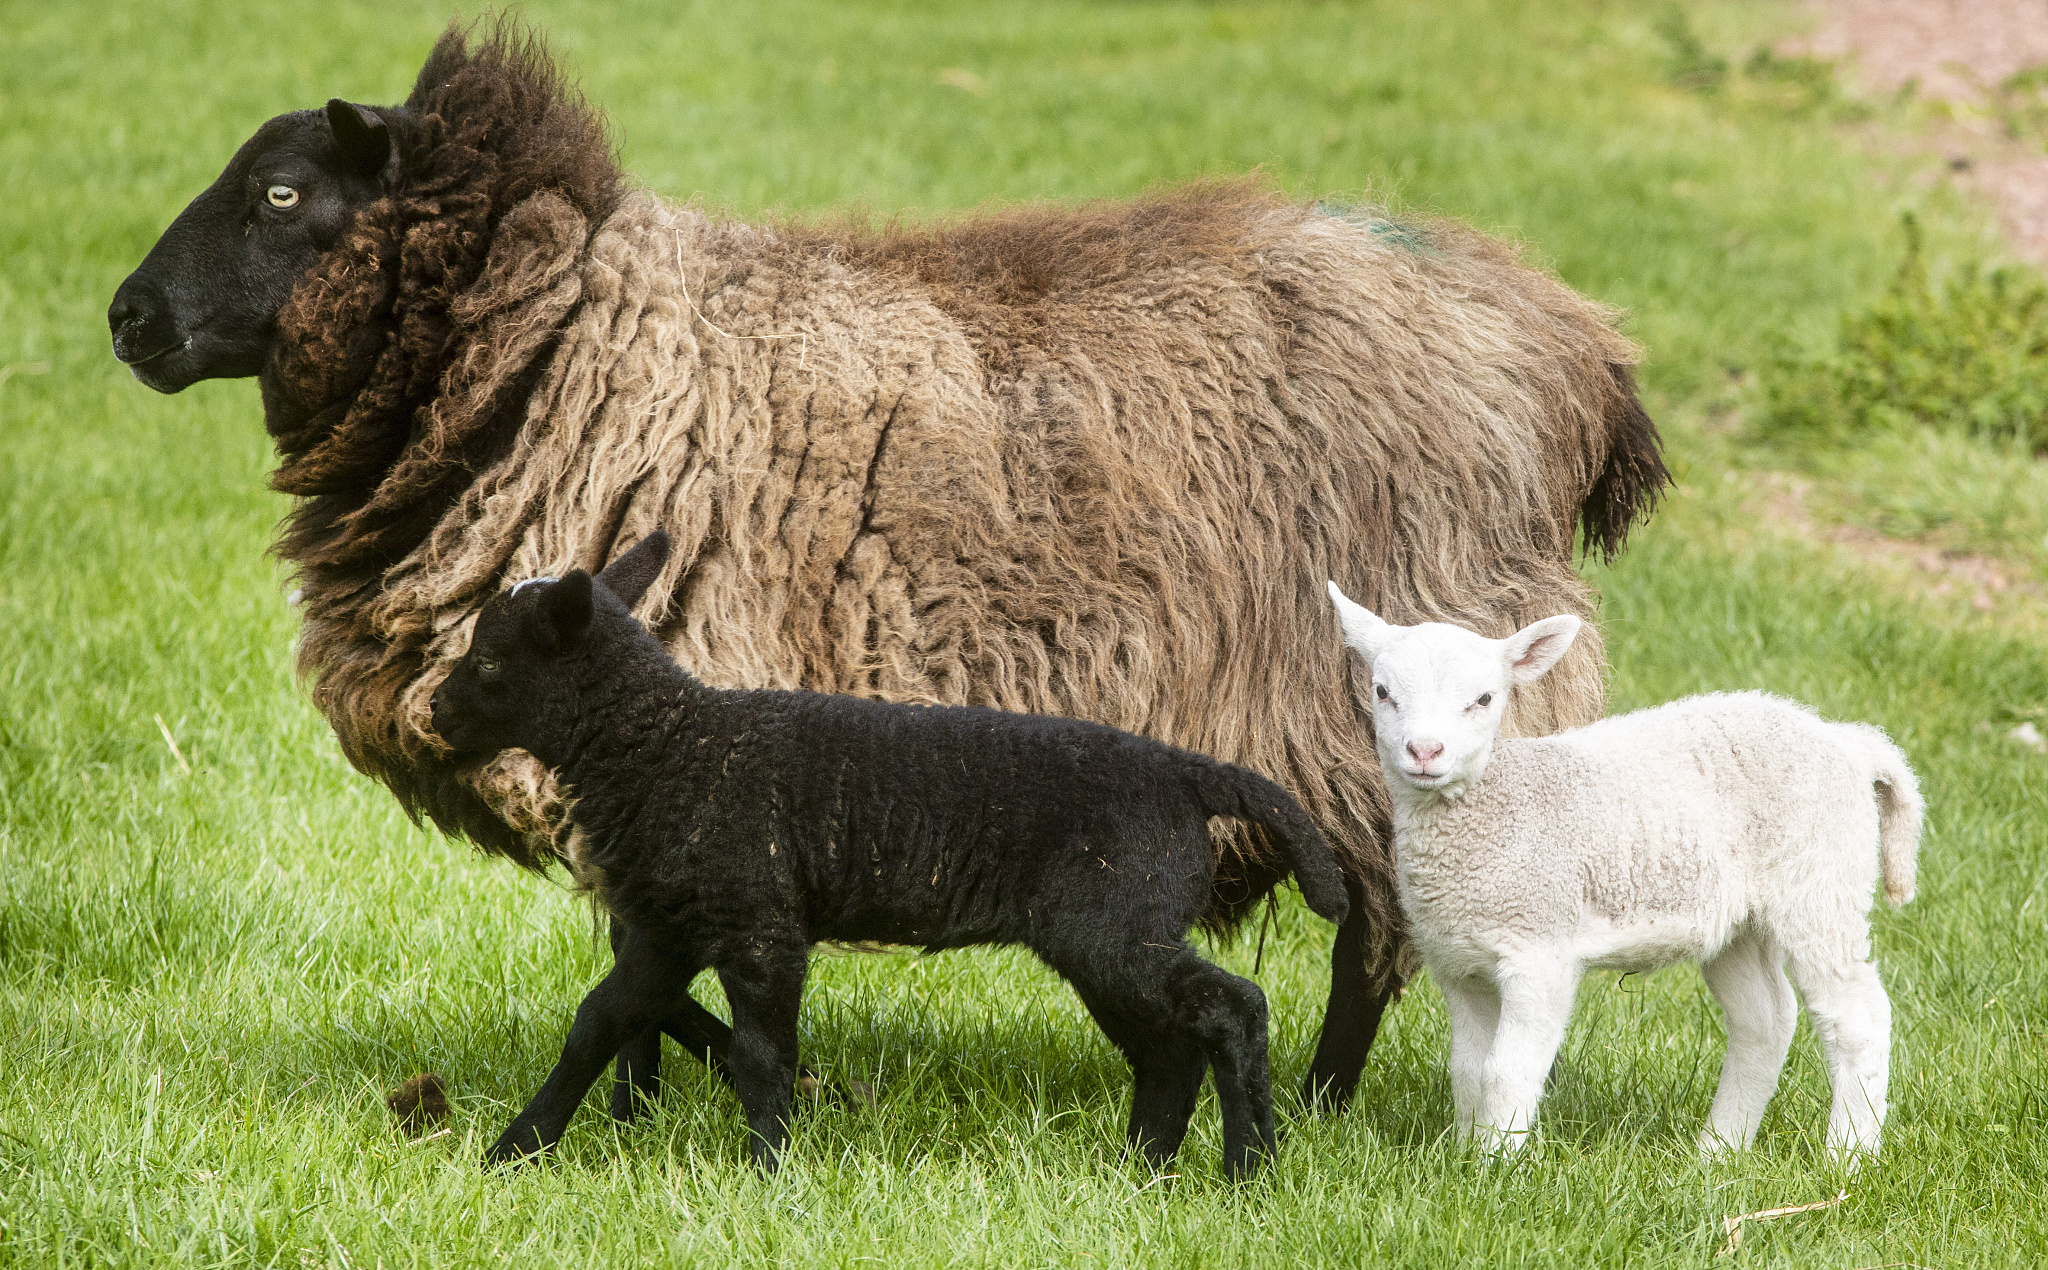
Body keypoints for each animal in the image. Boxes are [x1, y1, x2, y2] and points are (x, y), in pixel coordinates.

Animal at [430, 532, 1351, 1171]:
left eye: (490, 662)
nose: (435, 710)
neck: (667, 747)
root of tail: (1187, 773)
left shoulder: (762, 925)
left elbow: (763, 1057)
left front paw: (769, 1173)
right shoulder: (669, 929)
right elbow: (596, 1025)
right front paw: (514, 1152)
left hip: (1120, 926)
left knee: (1231, 1010)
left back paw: (1249, 1171)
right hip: (1111, 936)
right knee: (1167, 1051)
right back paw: (1144, 1172)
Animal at [1327, 581, 1916, 1163]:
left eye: (1484, 699)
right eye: (1382, 692)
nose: (1425, 751)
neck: (1491, 809)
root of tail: (1847, 741)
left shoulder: (1540, 950)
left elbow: (1506, 1071)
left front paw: (1499, 1167)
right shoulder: (1459, 961)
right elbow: (1469, 1072)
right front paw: (1468, 1160)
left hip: (1821, 881)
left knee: (1857, 1020)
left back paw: (1849, 1155)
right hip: (1738, 922)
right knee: (1765, 1021)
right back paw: (1719, 1152)